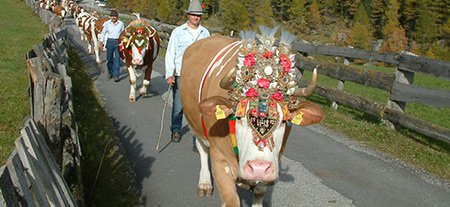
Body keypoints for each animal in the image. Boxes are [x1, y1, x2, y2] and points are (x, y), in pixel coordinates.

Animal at [179, 26, 324, 206]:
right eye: (238, 117)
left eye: (284, 120)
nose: (259, 168)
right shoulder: (220, 159)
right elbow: (231, 199)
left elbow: (260, 192)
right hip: (195, 123)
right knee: (202, 149)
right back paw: (204, 184)